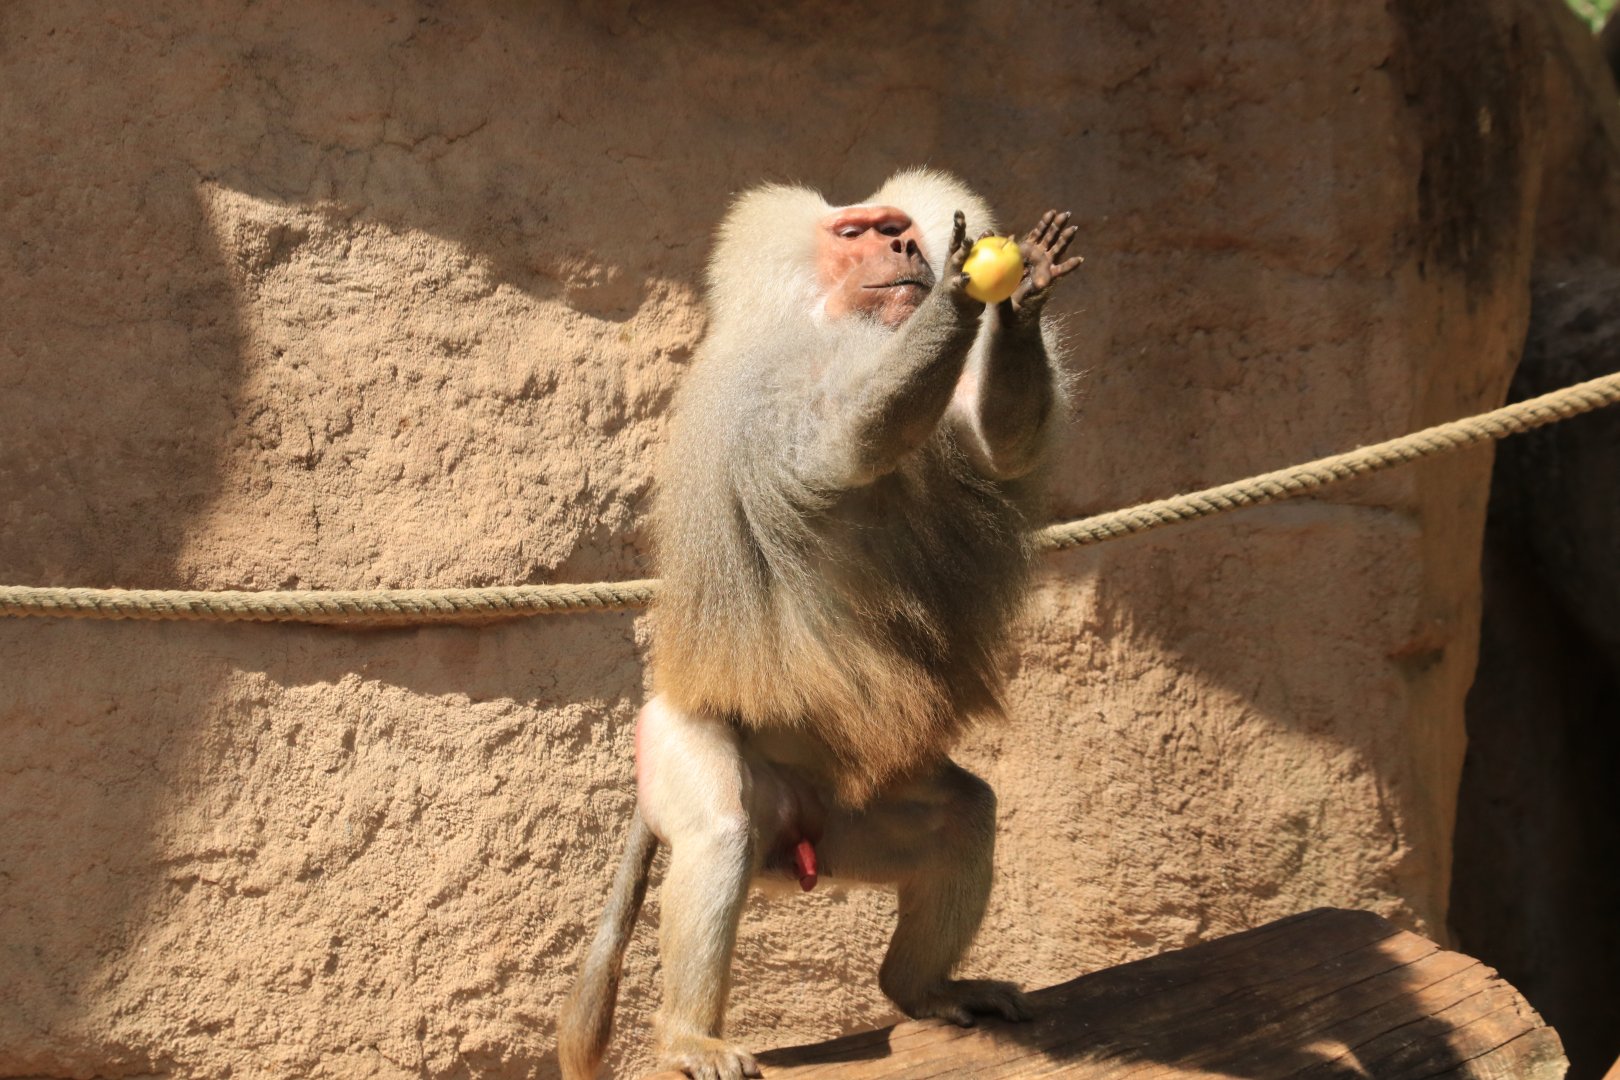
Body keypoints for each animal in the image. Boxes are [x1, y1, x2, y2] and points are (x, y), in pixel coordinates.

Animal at [558, 168, 1081, 1080]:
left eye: (897, 225)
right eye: (858, 234)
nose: (908, 247)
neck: (850, 328)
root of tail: (800, 831)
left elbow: (999, 448)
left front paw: (1022, 296)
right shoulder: (775, 385)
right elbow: (839, 447)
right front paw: (959, 296)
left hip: (858, 815)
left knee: (965, 814)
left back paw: (929, 992)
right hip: (679, 744)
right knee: (719, 836)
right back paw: (689, 1039)